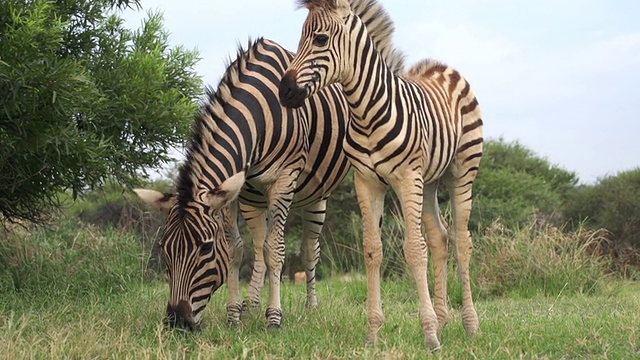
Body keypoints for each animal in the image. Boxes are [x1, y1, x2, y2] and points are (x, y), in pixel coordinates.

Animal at [278, 0, 482, 350]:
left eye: (320, 39)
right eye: (300, 37)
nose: (284, 91)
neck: (365, 112)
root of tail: (443, 68)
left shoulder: (407, 177)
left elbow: (414, 249)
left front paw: (429, 335)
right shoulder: (367, 181)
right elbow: (373, 250)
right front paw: (373, 333)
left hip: (461, 172)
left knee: (461, 242)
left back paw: (470, 326)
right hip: (429, 181)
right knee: (440, 238)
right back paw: (444, 320)